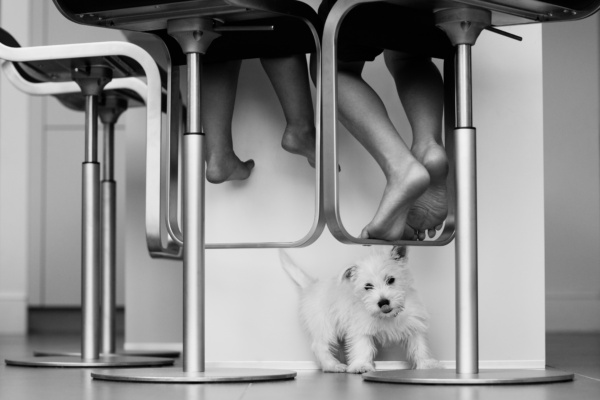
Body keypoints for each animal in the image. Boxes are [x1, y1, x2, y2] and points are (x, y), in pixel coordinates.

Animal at [278, 245, 438, 374]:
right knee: (320, 347)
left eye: (391, 280)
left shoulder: (414, 325)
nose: (383, 302)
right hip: (325, 327)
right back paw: (332, 366)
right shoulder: (361, 330)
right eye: (368, 286)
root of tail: (312, 285)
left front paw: (426, 364)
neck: (387, 316)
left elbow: (419, 346)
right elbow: (363, 348)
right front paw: (361, 366)